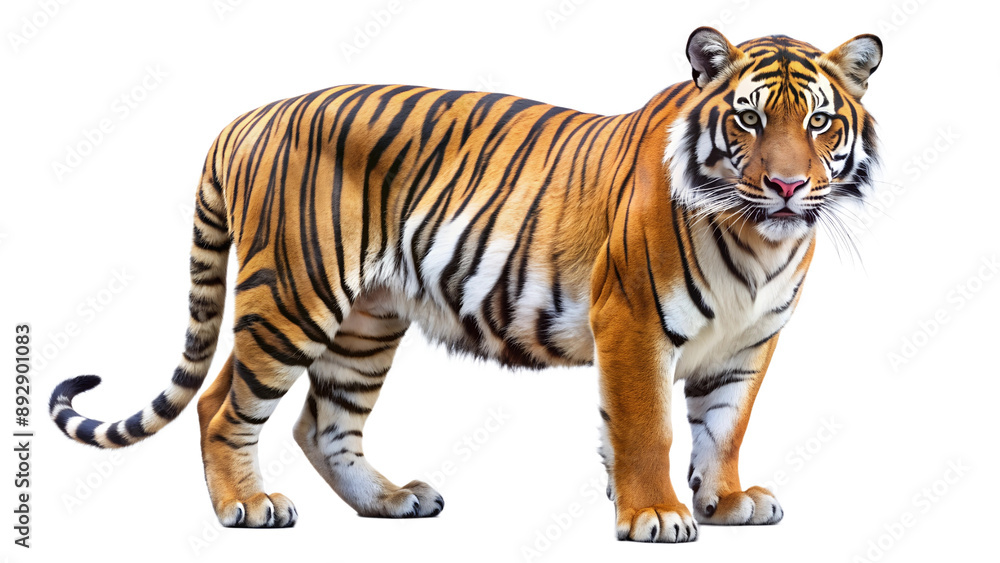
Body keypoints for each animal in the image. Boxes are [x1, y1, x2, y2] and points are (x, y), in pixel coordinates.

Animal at [49, 26, 881, 543]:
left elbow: (723, 426)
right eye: (747, 119)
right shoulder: (633, 320)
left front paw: (726, 500)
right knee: (223, 403)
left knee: (324, 422)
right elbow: (647, 425)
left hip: (365, 322)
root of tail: (244, 119)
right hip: (293, 296)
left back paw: (390, 500)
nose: (786, 185)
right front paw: (654, 514)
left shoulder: (747, 343)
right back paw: (247, 505)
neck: (760, 240)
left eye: (818, 122)